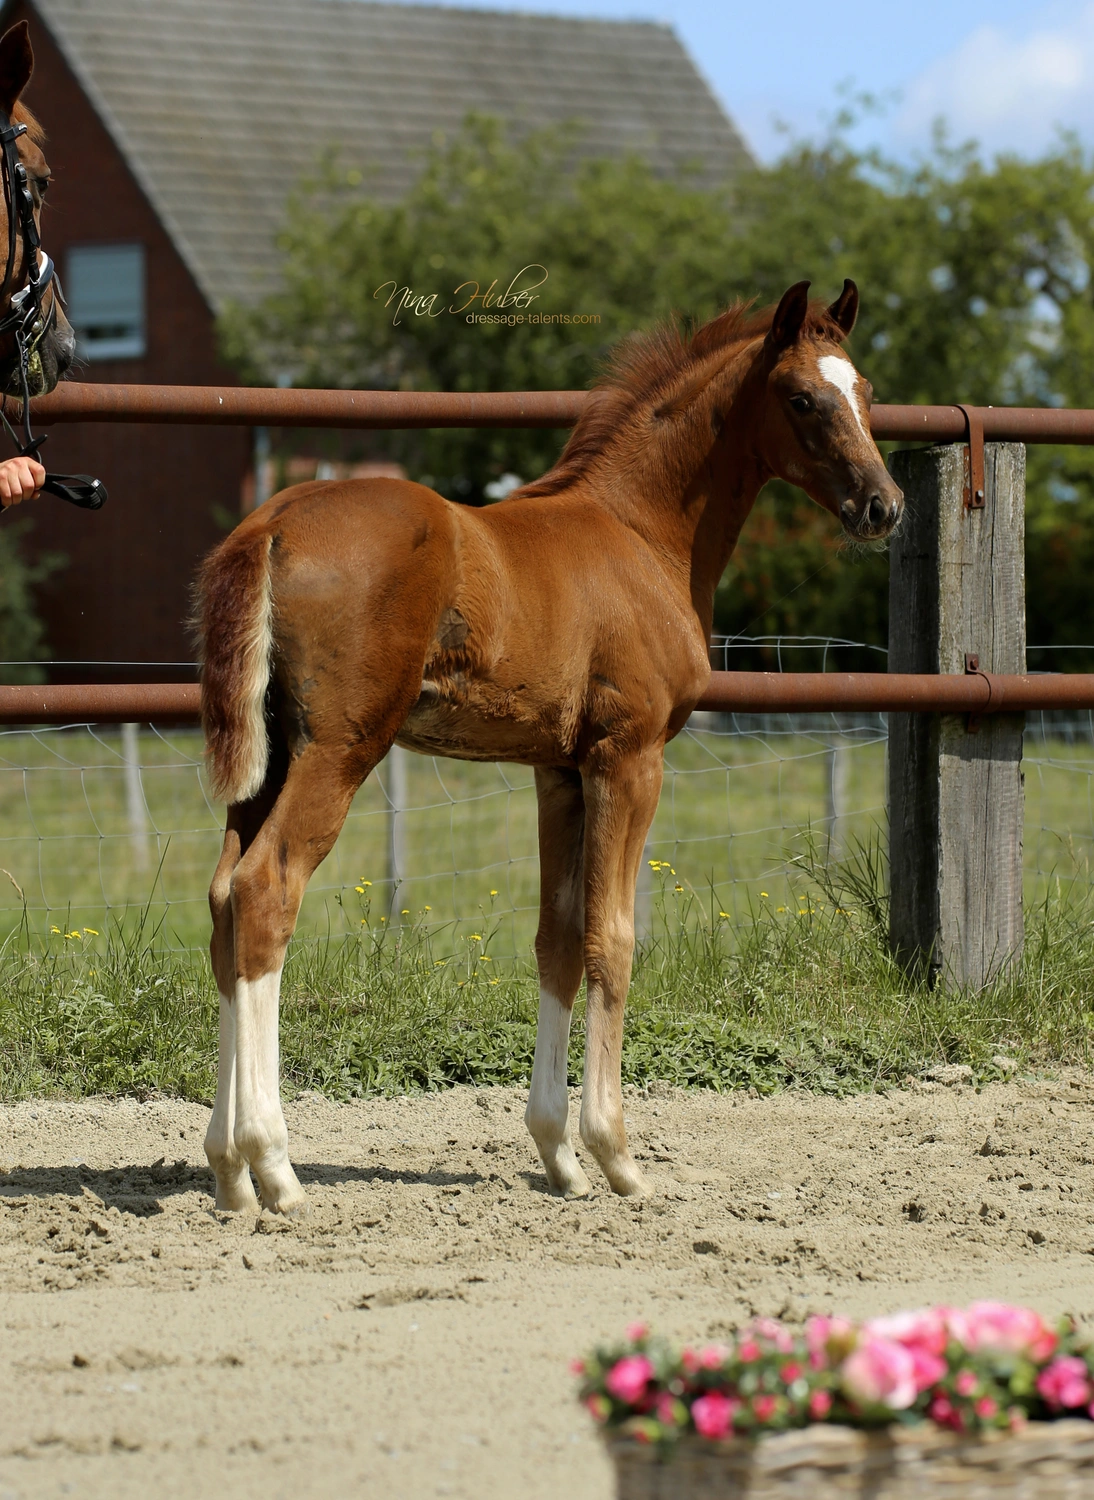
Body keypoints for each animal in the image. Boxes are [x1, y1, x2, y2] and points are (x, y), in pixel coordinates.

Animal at [193, 277, 903, 1216]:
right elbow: (614, 937)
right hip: (339, 746)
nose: (883, 507)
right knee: (266, 890)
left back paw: (227, 1169)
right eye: (800, 398)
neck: (639, 533)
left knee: (223, 901)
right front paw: (617, 1156)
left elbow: (558, 939)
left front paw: (557, 1154)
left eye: (866, 392)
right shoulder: (629, 758)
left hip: (269, 756)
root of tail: (272, 519)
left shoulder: (557, 769)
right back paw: (274, 1164)